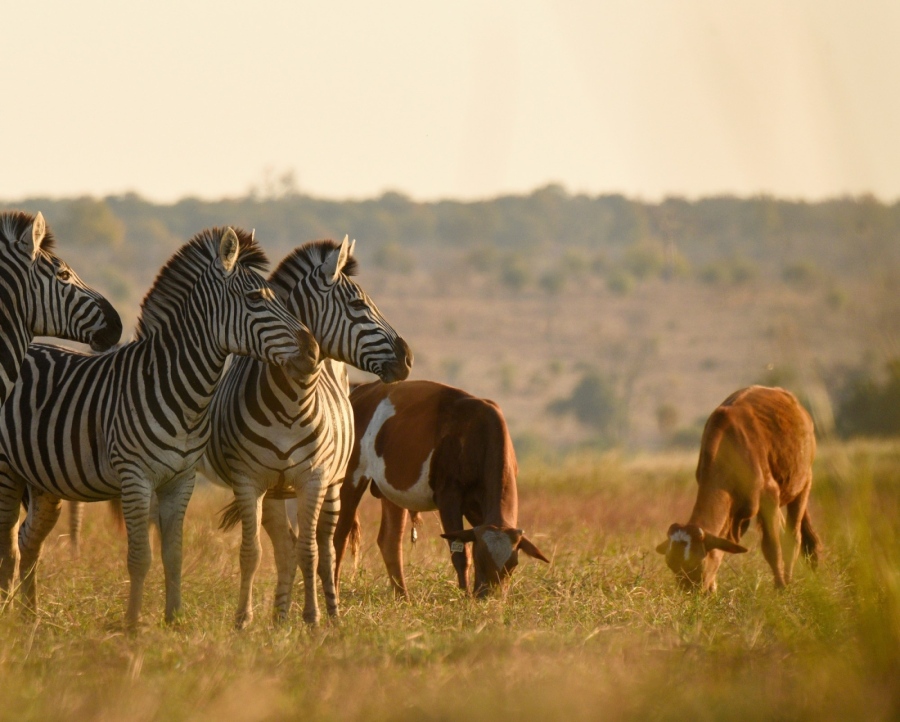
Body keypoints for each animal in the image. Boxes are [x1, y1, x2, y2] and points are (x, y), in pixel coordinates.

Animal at [205, 235, 412, 624]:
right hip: (275, 492)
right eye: (358, 304)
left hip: (333, 485)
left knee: (326, 548)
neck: (290, 401)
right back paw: (280, 619)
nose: (407, 359)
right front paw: (244, 620)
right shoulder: (249, 481)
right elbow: (253, 553)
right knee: (285, 548)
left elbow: (311, 552)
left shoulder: (313, 480)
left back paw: (331, 614)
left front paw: (313, 618)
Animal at [336, 376, 552, 596]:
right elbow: (460, 555)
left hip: (391, 492)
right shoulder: (449, 498)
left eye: (513, 564)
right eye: (480, 558)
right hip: (349, 479)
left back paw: (403, 597)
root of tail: (361, 391)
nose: (489, 596)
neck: (479, 437)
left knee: (390, 541)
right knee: (339, 537)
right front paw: (464, 596)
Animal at [656, 386, 820, 588]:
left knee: (793, 537)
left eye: (697, 563)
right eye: (671, 564)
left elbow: (772, 547)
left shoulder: (769, 497)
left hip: (803, 484)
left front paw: (780, 588)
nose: (689, 591)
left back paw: (788, 581)